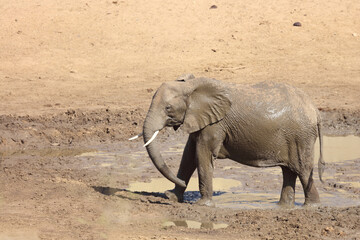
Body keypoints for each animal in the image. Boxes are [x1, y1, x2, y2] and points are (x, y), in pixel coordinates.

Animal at [130, 74, 326, 207]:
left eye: (168, 108)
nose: (183, 183)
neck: (192, 86)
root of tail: (315, 111)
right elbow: (188, 154)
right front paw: (171, 197)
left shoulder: (215, 124)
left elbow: (202, 154)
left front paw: (203, 205)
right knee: (289, 171)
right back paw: (283, 207)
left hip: (301, 137)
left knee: (303, 170)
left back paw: (311, 206)